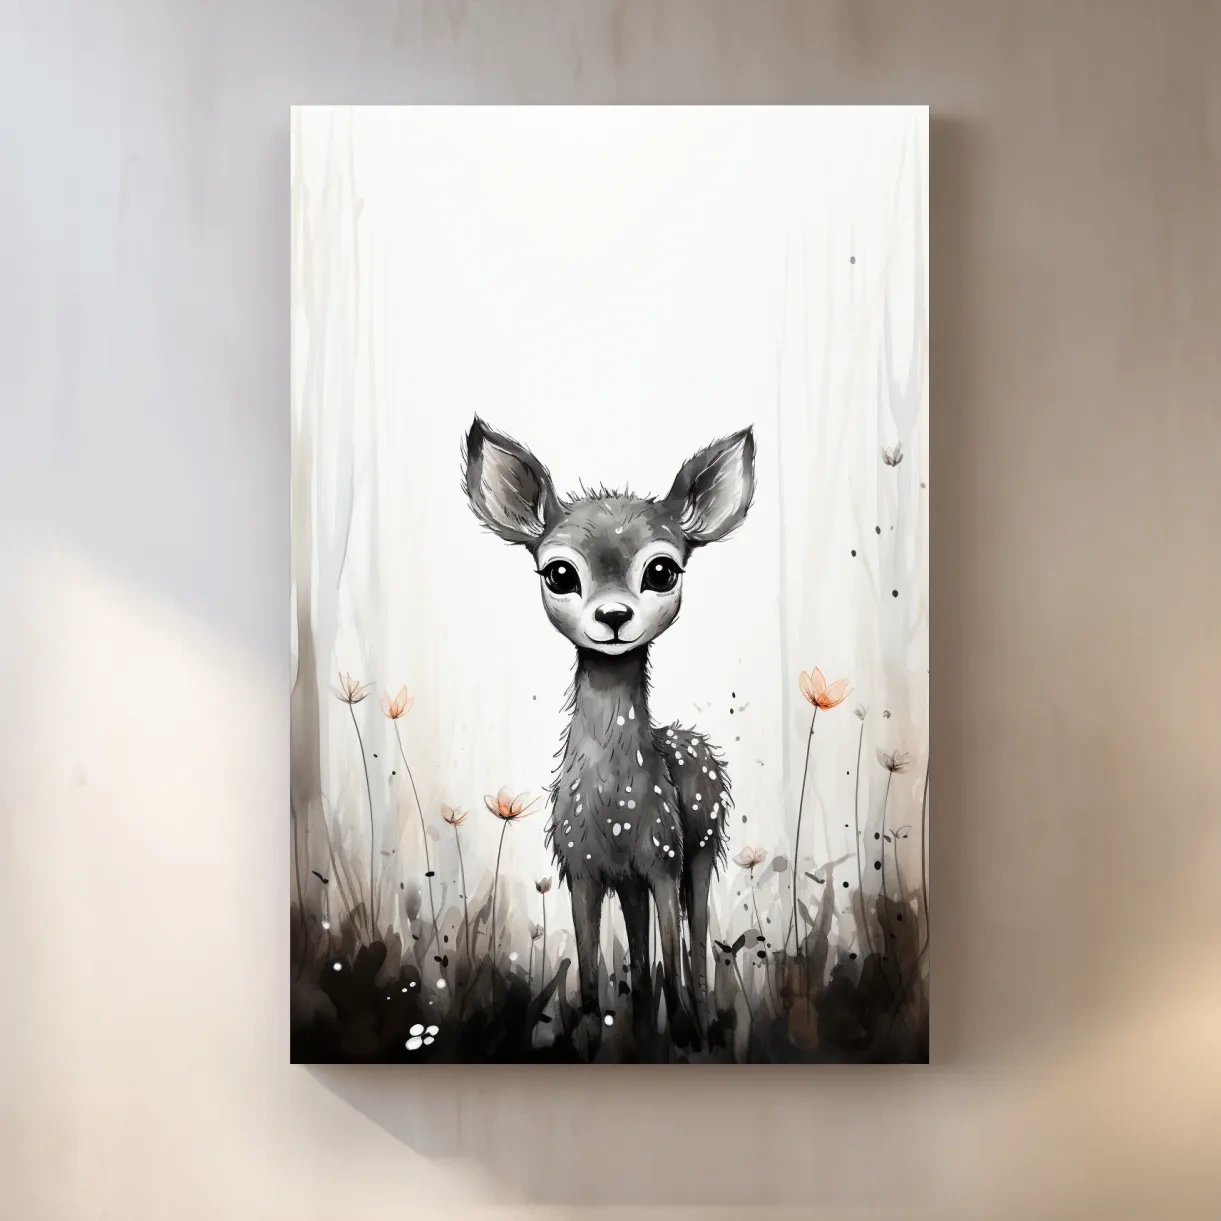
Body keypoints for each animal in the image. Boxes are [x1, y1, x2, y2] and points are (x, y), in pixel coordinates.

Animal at [462, 416, 755, 1053]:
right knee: (642, 959)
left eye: (662, 569)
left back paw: (697, 1025)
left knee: (694, 945)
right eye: (559, 572)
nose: (614, 617)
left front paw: (685, 1034)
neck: (615, 806)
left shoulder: (663, 856)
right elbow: (594, 977)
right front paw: (595, 1036)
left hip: (701, 847)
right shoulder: (582, 868)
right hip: (633, 881)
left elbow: (674, 951)